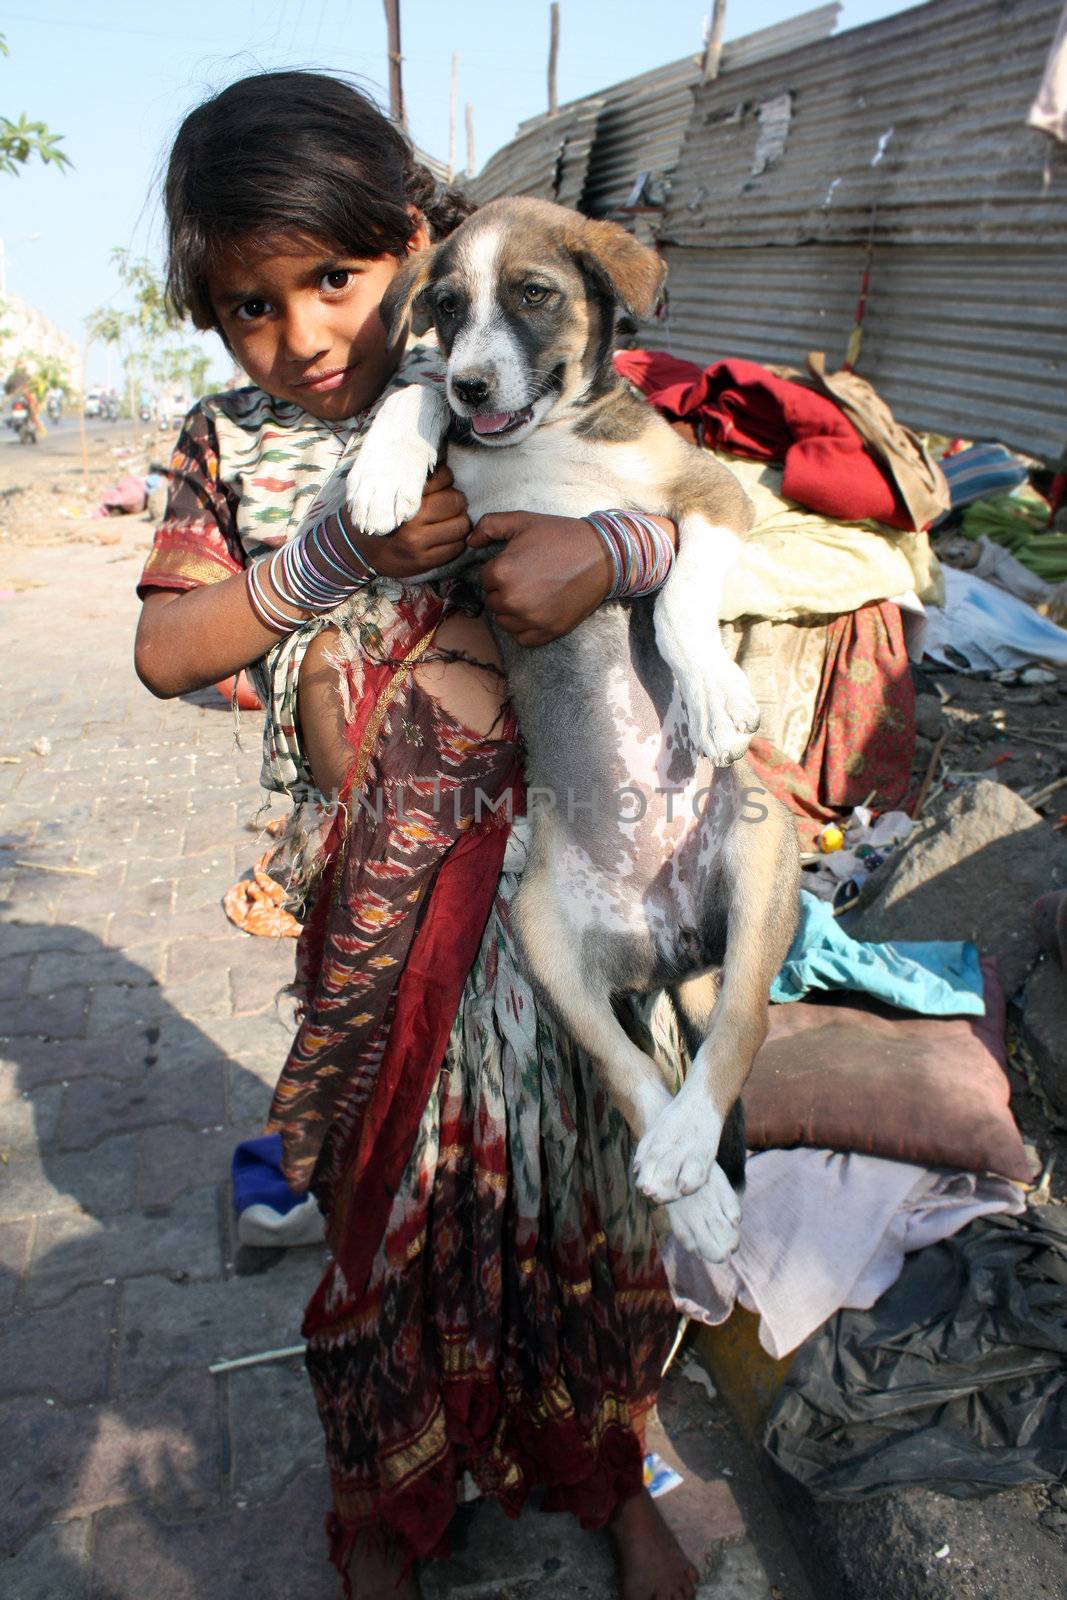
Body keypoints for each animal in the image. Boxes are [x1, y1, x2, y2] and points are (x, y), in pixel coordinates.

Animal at [347, 196, 796, 1260]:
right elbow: (411, 395)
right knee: (628, 1071)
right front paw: (386, 464)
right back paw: (690, 1186)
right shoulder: (455, 557)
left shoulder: (716, 494)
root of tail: (674, 942)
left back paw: (695, 1151)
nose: (473, 382)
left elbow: (676, 591)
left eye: (533, 296)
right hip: (542, 933)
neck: (546, 438)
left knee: (744, 1022)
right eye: (445, 305)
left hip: (766, 855)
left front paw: (709, 690)